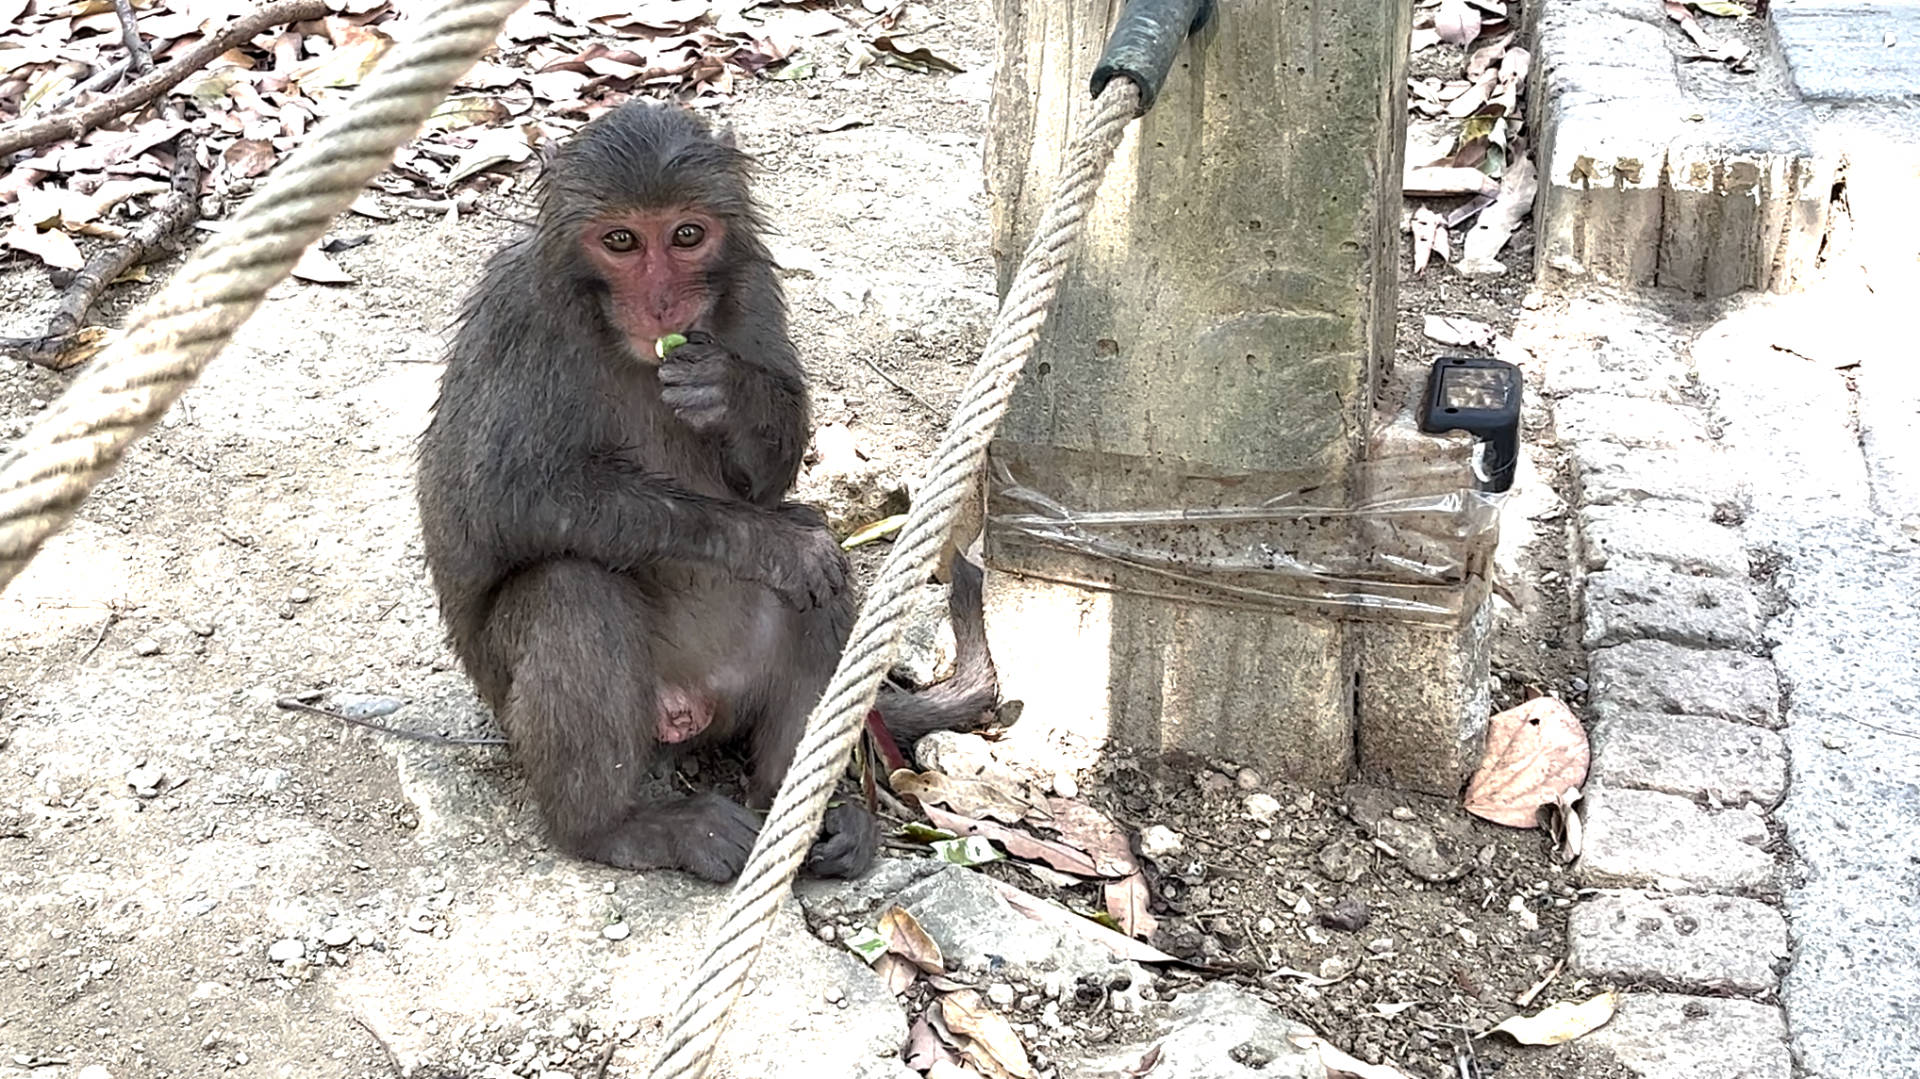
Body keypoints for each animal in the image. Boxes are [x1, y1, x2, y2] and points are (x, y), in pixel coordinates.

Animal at [412, 98, 998, 883]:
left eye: (686, 235)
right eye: (621, 241)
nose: (663, 303)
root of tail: (694, 712)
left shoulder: (751, 289)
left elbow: (770, 477)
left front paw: (728, 393)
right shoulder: (518, 315)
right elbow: (497, 502)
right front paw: (771, 542)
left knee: (819, 589)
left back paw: (804, 809)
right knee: (570, 589)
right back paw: (618, 826)